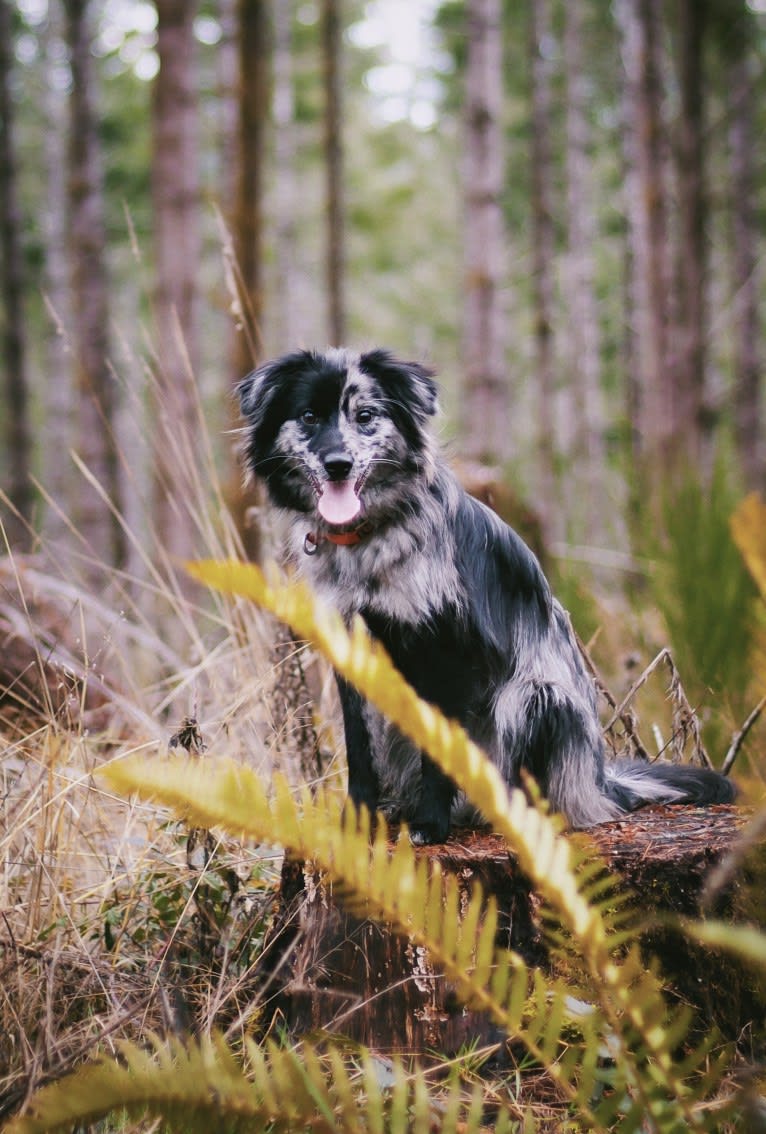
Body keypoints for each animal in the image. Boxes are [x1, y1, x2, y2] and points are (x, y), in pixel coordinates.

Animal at [238, 344, 735, 843]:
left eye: (365, 415)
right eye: (308, 416)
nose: (337, 464)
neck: (372, 539)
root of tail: (601, 784)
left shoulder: (444, 651)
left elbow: (439, 749)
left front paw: (430, 824)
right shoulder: (351, 649)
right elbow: (359, 751)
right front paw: (358, 823)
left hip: (536, 698)